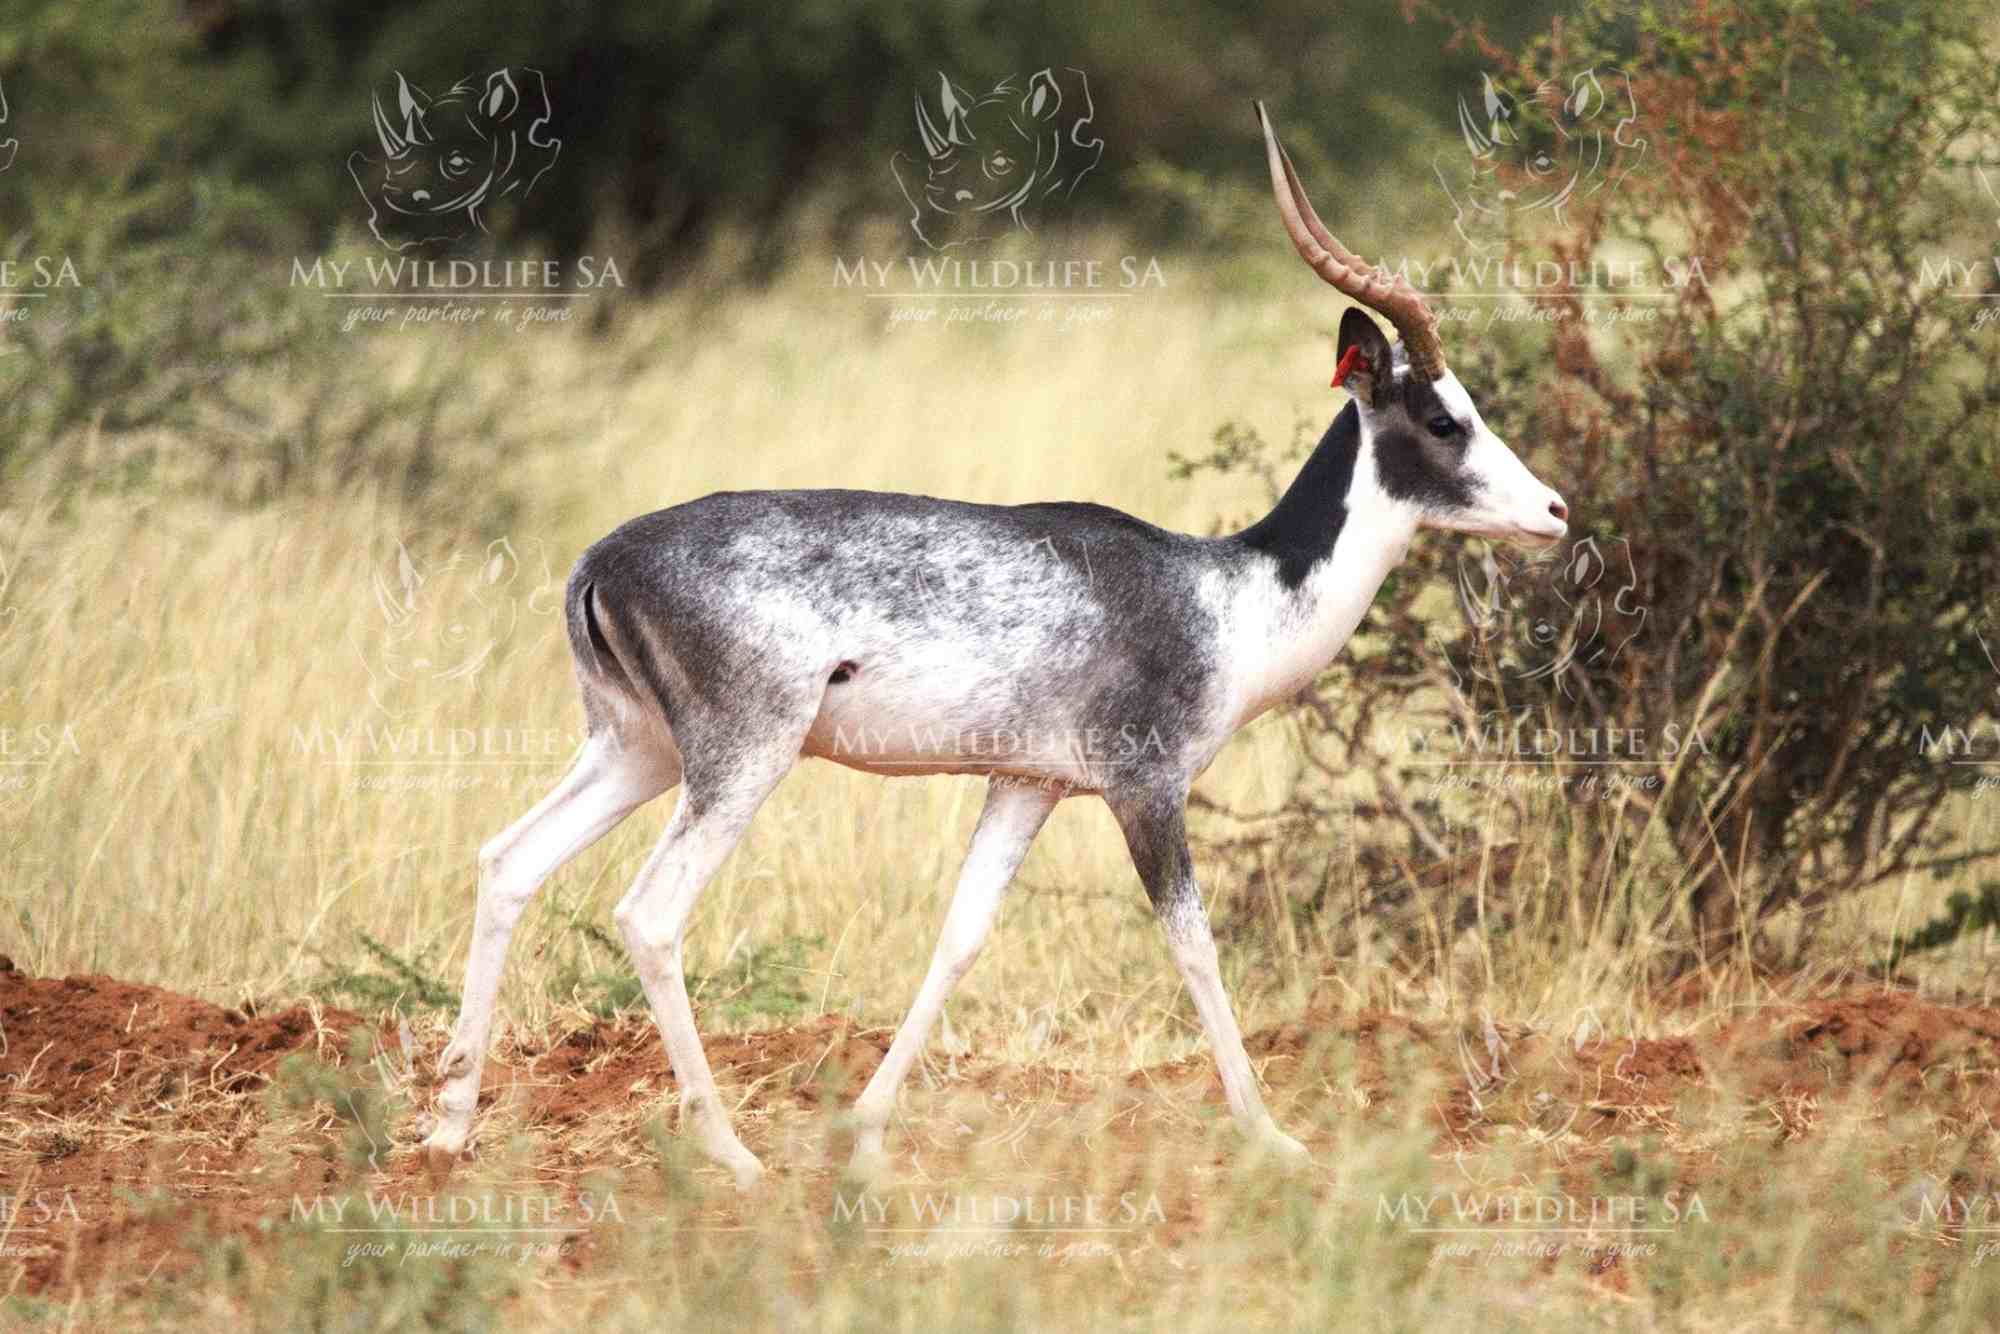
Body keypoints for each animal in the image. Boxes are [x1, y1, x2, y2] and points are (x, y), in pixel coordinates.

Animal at [421, 104, 1569, 1186]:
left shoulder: (1024, 784)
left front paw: (865, 1129)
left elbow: (960, 936)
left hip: (634, 750)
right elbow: (1194, 948)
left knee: (507, 860)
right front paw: (1274, 1136)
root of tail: (597, 564)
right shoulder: (1144, 787)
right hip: (737, 761)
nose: (1555, 511)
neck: (1225, 595)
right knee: (649, 913)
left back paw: (449, 1126)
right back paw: (730, 1154)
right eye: (1442, 417)